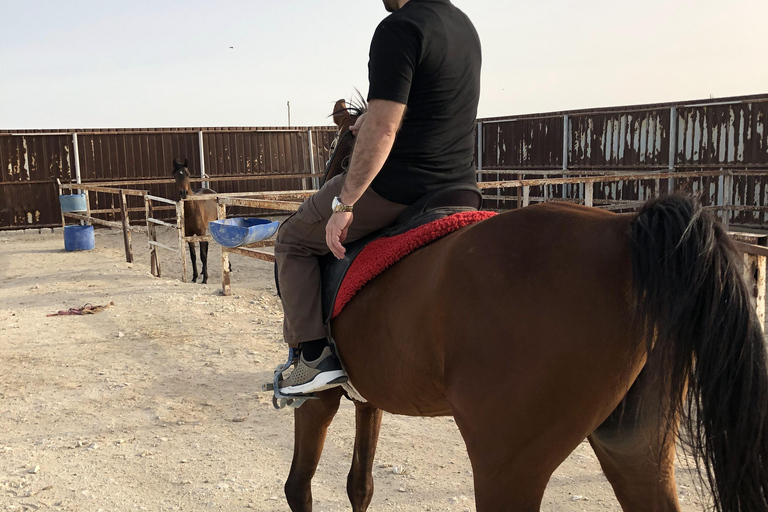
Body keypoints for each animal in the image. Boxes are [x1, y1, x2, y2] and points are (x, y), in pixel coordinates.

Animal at [282, 102, 768, 510]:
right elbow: (359, 485)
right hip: (634, 448)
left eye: (341, 153)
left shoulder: (319, 399)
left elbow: (299, 486)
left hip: (507, 467)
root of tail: (626, 230)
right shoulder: (367, 397)